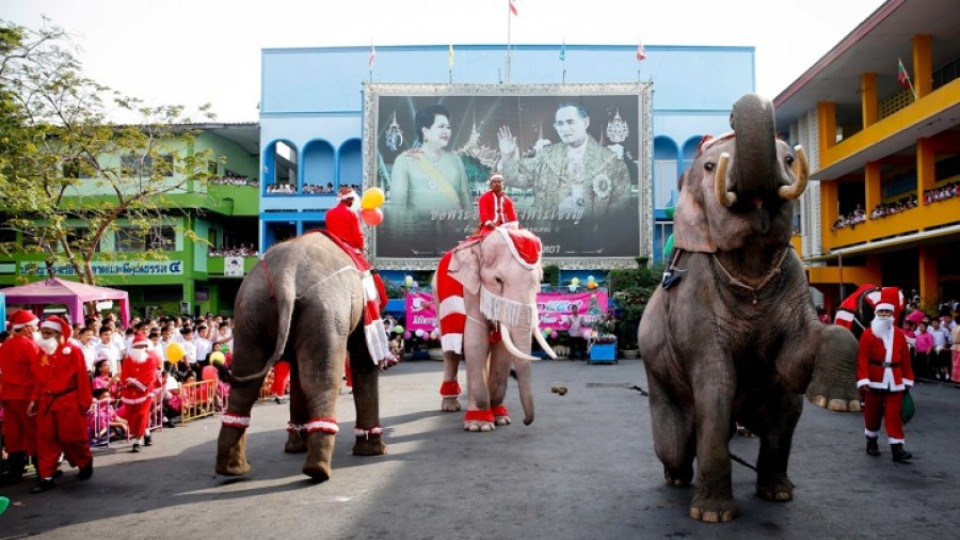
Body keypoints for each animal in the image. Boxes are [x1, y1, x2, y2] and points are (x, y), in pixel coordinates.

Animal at [215, 232, 386, 480]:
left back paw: (232, 469)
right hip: (325, 312)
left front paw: (296, 446)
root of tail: (285, 273)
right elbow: (364, 361)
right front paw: (373, 452)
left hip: (249, 310)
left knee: (245, 383)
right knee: (321, 382)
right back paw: (318, 470)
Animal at [434, 226, 560, 432]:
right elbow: (475, 340)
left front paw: (501, 418)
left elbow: (503, 349)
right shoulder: (471, 289)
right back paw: (451, 406)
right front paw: (480, 425)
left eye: (540, 280)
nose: (525, 421)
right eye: (498, 280)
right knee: (451, 352)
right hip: (439, 300)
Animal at [636, 94, 864, 524]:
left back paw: (778, 492)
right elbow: (715, 385)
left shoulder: (795, 281)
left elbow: (796, 358)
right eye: (709, 167)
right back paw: (677, 478)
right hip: (658, 375)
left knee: (784, 415)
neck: (751, 264)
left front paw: (840, 402)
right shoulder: (694, 301)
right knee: (674, 444)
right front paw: (712, 516)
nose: (730, 114)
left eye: (789, 159)